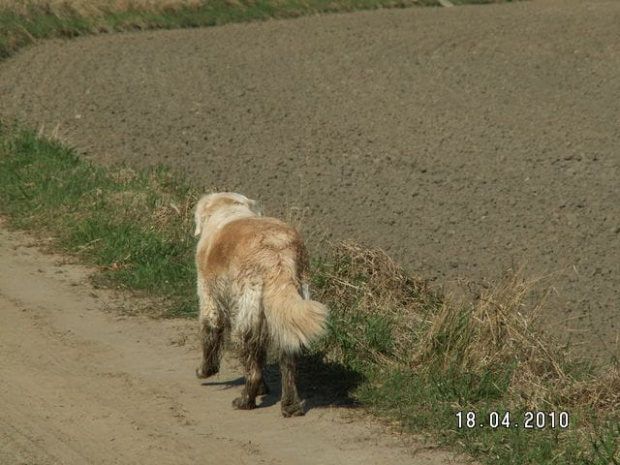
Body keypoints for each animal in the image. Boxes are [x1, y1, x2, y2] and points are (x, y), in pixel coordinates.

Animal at [194, 192, 330, 416]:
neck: (230, 210)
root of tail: (278, 254)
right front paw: (263, 389)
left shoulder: (209, 298)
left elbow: (211, 335)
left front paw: (205, 371)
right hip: (286, 311)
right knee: (287, 361)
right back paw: (290, 406)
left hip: (246, 318)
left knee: (252, 369)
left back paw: (244, 401)